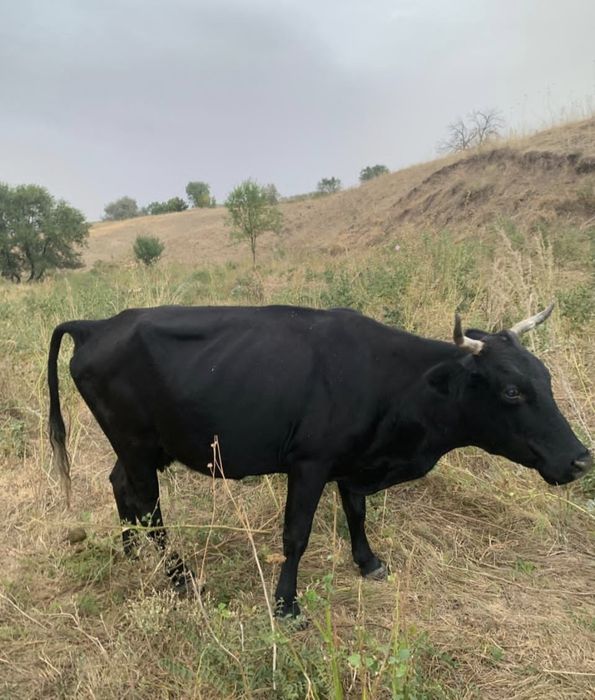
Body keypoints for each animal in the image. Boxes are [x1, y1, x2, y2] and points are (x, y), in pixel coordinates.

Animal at [48, 303, 591, 618]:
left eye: (544, 378)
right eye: (512, 390)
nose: (581, 460)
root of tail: (97, 325)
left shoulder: (353, 463)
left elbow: (356, 512)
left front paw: (368, 562)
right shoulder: (309, 463)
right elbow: (296, 535)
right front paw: (286, 604)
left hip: (137, 447)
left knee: (121, 487)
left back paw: (132, 553)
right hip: (136, 443)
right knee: (148, 506)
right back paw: (180, 577)